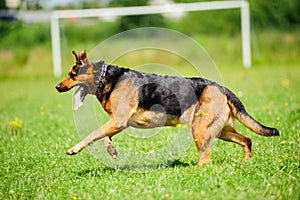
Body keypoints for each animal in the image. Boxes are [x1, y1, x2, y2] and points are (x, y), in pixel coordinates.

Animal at [55, 50, 278, 166]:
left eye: (72, 75)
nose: (57, 87)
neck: (106, 78)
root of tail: (221, 87)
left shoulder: (118, 121)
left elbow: (92, 135)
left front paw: (74, 149)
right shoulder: (118, 122)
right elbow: (103, 137)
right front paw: (111, 151)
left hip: (200, 130)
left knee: (206, 159)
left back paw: (195, 170)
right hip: (221, 130)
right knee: (247, 140)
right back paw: (247, 162)